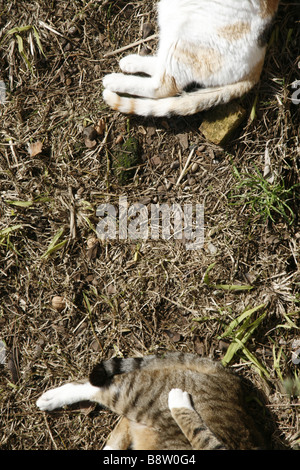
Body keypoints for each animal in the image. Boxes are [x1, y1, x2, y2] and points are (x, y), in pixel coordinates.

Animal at [103, 0, 278, 116]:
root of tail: (258, 65)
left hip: (183, 39)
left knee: (163, 86)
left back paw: (114, 80)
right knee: (161, 66)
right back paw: (130, 62)